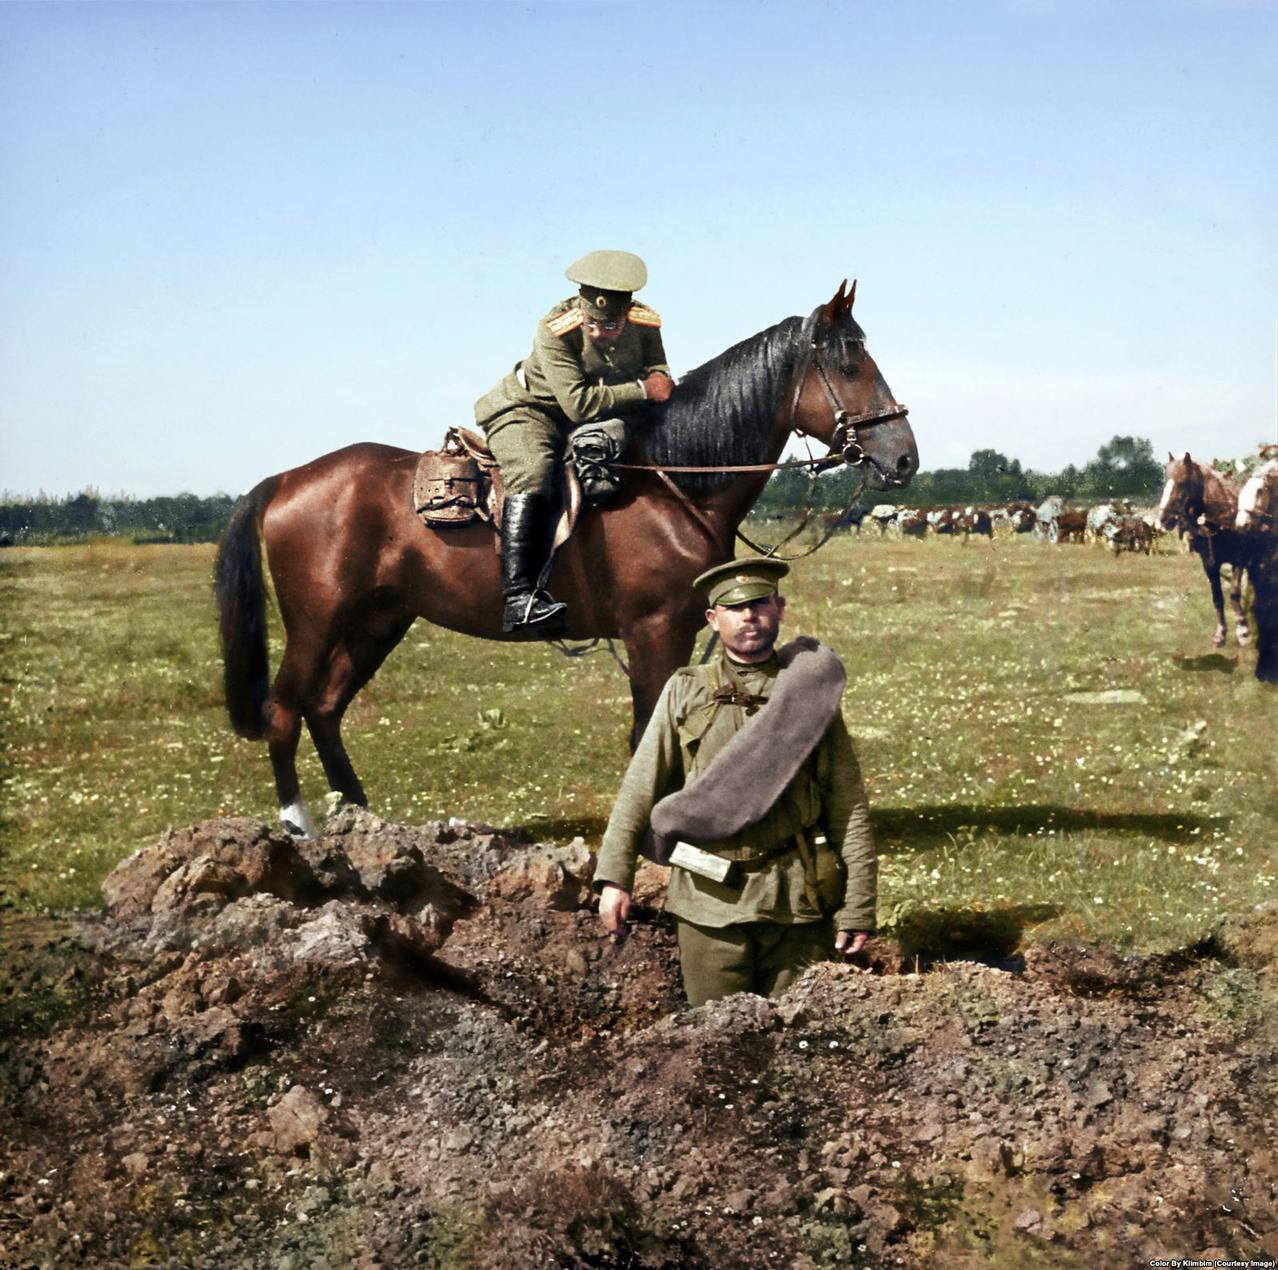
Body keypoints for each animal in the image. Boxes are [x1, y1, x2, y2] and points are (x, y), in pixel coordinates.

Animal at [217, 279, 920, 833]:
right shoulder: (654, 631)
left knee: (325, 708)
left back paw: (361, 818)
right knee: (285, 712)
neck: (672, 481)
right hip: (317, 622)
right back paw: (302, 828)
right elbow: (648, 734)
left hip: (379, 620)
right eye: (851, 367)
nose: (905, 457)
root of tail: (285, 479)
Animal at [1160, 449, 1247, 649]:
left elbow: (1234, 594)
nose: (1164, 519)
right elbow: (1218, 598)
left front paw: (1242, 632)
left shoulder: (1239, 559)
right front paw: (1220, 635)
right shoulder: (1209, 563)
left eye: (1183, 482)